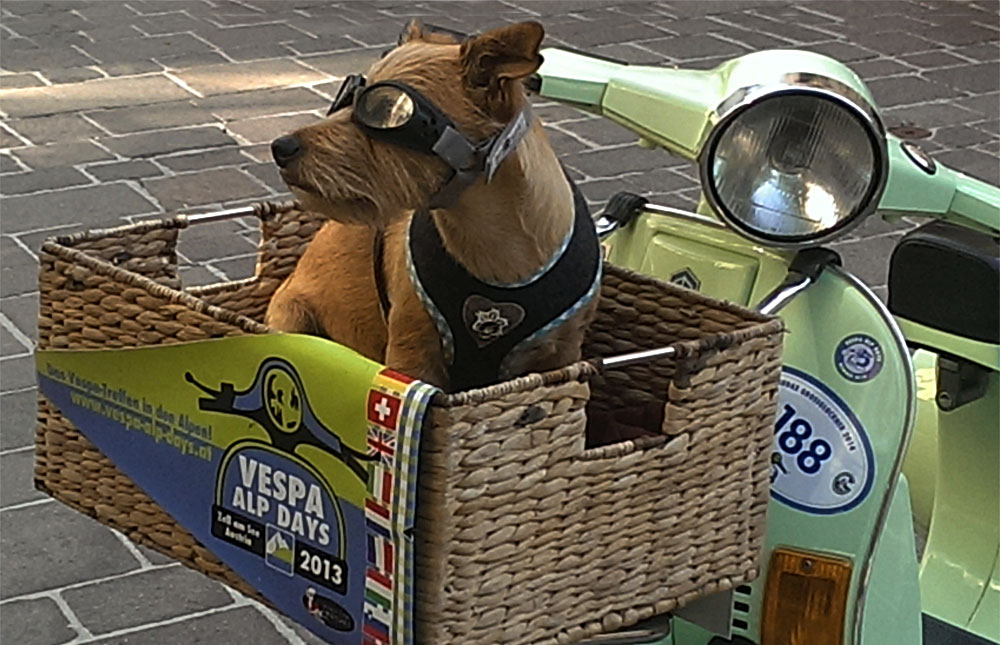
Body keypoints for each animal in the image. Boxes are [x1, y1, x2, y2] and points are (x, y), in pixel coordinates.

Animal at [262, 20, 600, 390]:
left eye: (387, 110)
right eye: (347, 96)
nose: (280, 147)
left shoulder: (563, 353)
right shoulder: (412, 356)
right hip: (290, 319)